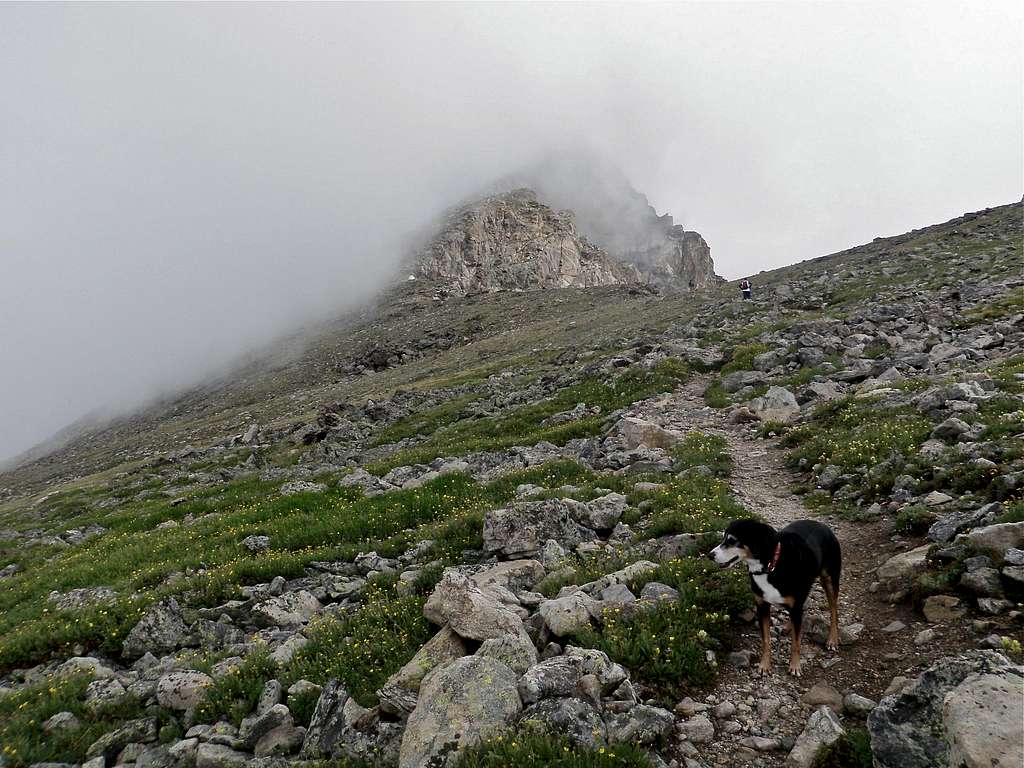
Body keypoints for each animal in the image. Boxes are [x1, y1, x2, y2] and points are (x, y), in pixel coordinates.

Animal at [708, 520, 843, 675]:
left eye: (732, 540)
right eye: (724, 538)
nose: (710, 555)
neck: (769, 567)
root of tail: (822, 525)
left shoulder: (795, 606)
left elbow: (796, 642)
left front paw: (795, 666)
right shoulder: (762, 607)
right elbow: (766, 640)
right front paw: (764, 665)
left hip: (830, 579)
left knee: (833, 610)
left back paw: (832, 639)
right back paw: (789, 626)